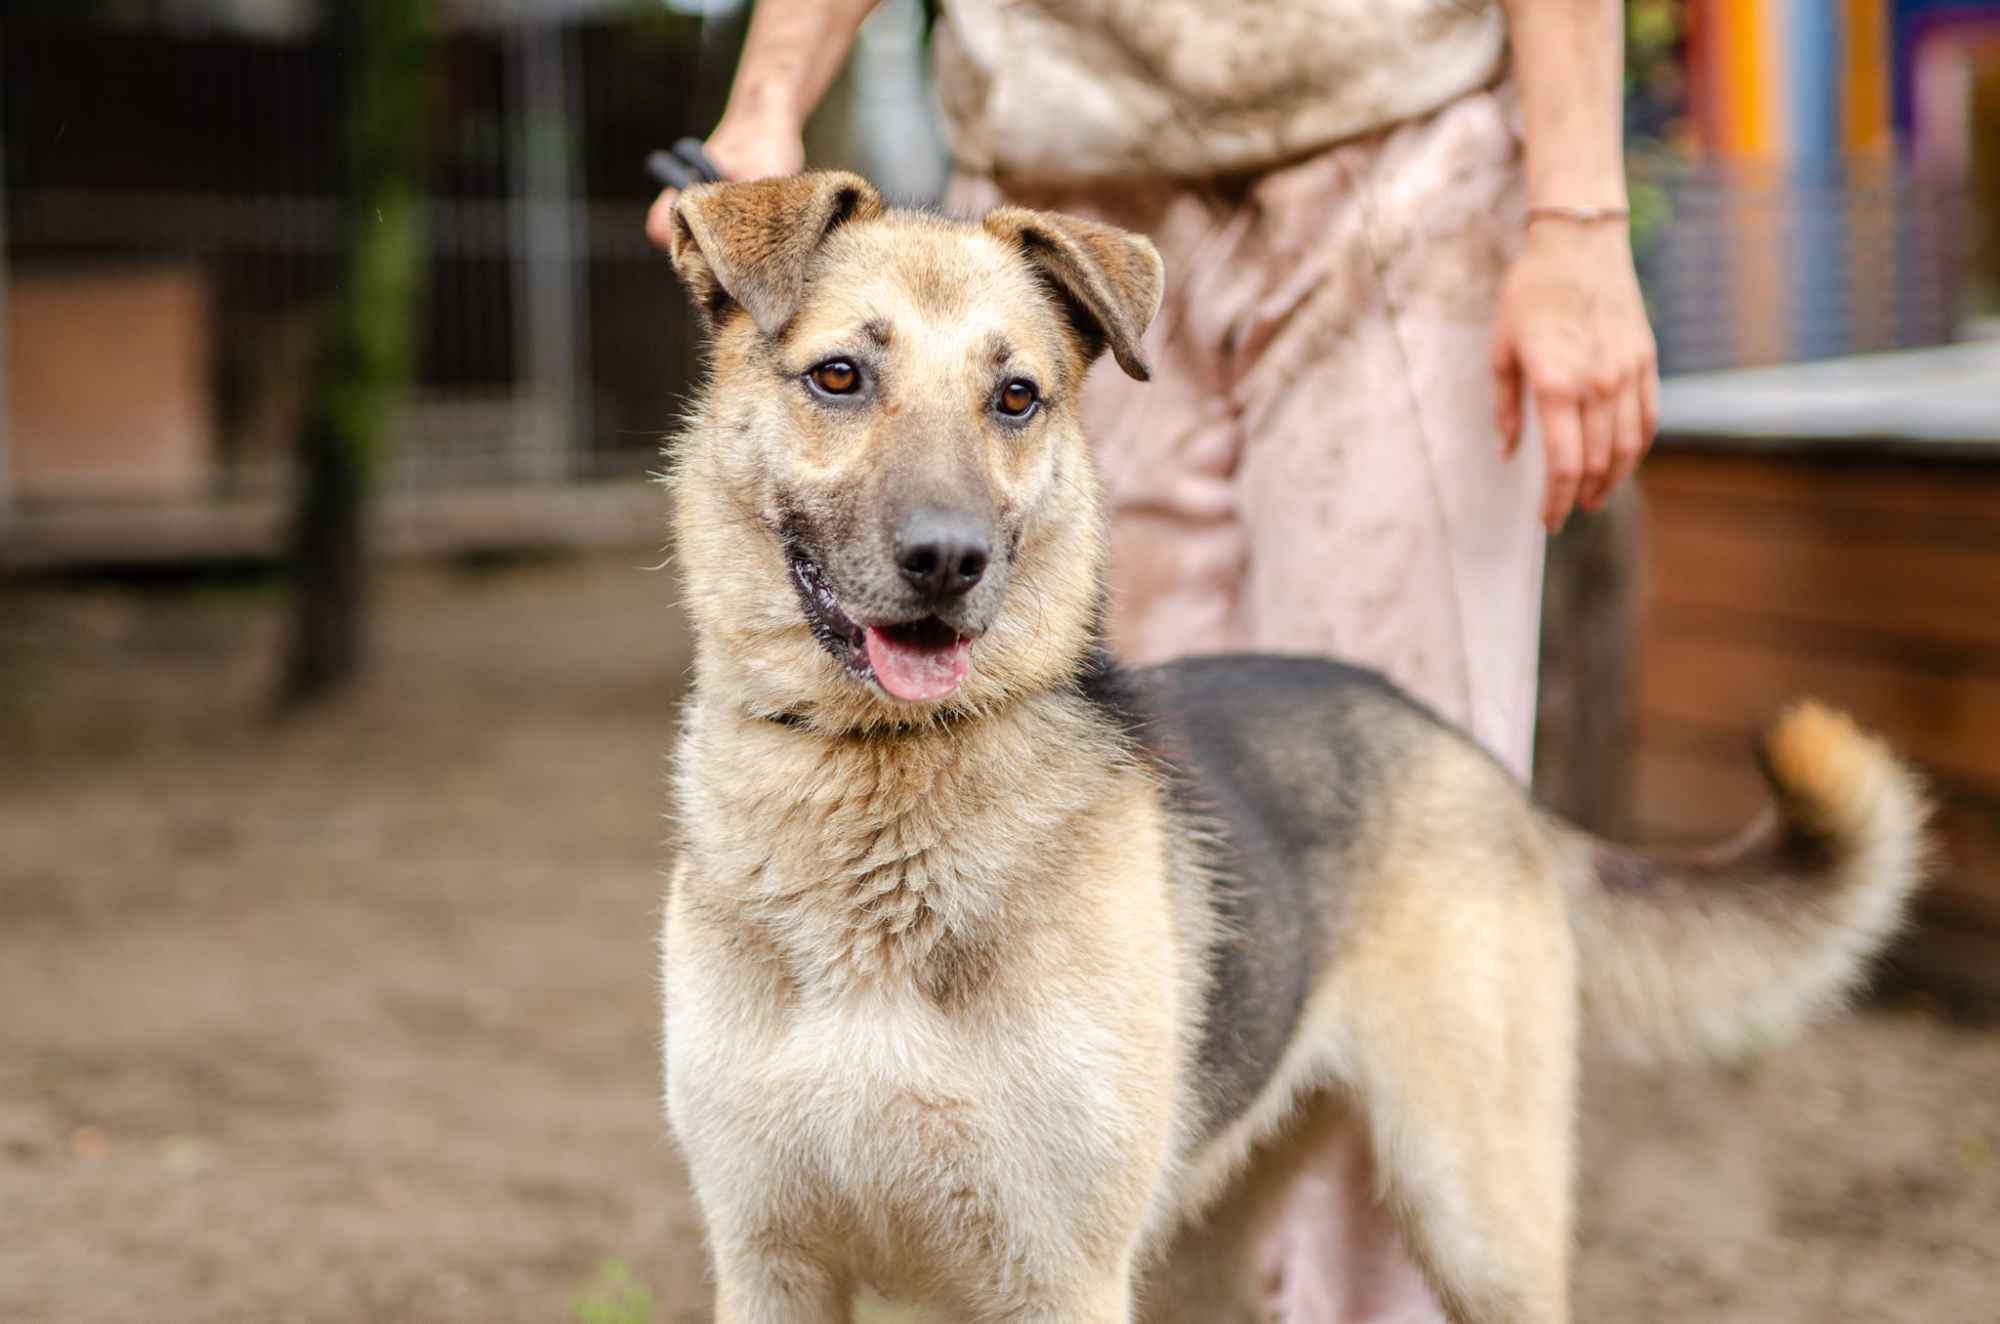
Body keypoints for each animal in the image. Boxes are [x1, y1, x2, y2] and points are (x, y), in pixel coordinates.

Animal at [660, 171, 1936, 1320]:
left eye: (1015, 397)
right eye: (838, 375)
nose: (947, 559)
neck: (876, 790)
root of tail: (1468, 754)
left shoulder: (1059, 1276)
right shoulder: (769, 1264)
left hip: (1472, 1216)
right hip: (1206, 1249)